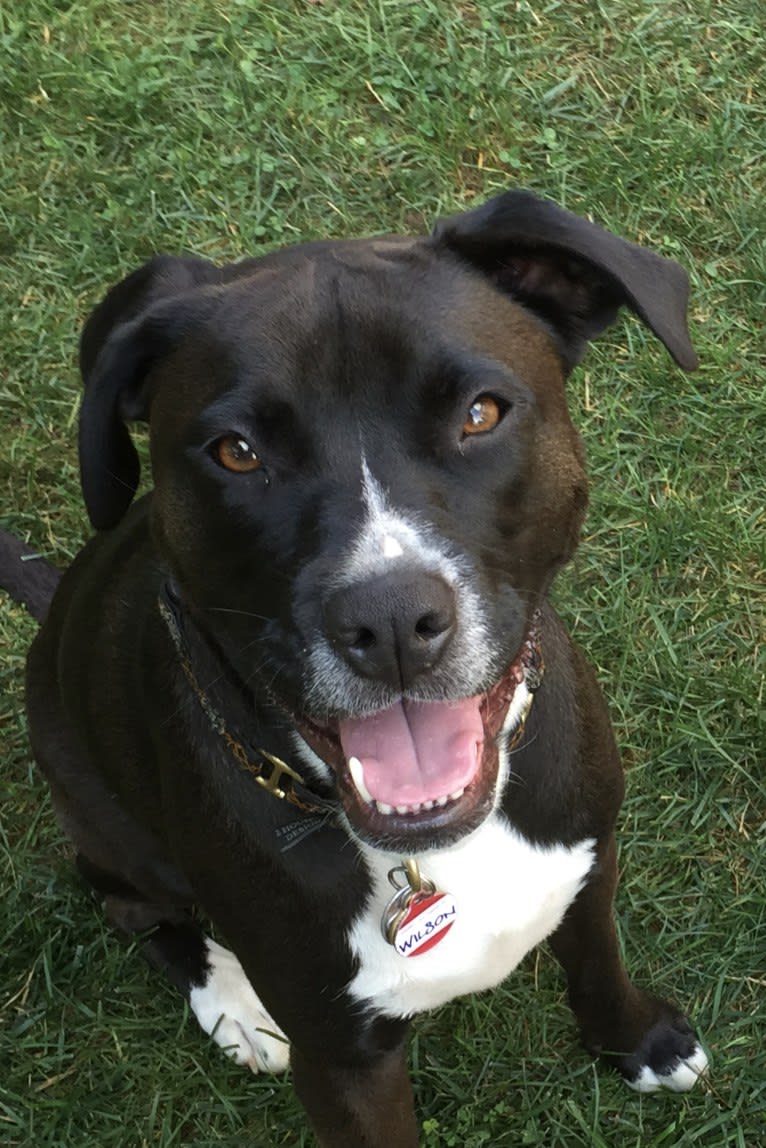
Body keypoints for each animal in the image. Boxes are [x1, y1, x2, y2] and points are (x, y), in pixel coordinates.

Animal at [5, 192, 712, 1143]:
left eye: (481, 413)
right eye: (236, 452)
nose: (391, 621)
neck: (438, 853)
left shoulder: (589, 861)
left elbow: (597, 960)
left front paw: (641, 1042)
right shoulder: (341, 1061)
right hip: (113, 831)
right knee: (128, 905)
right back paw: (231, 1001)